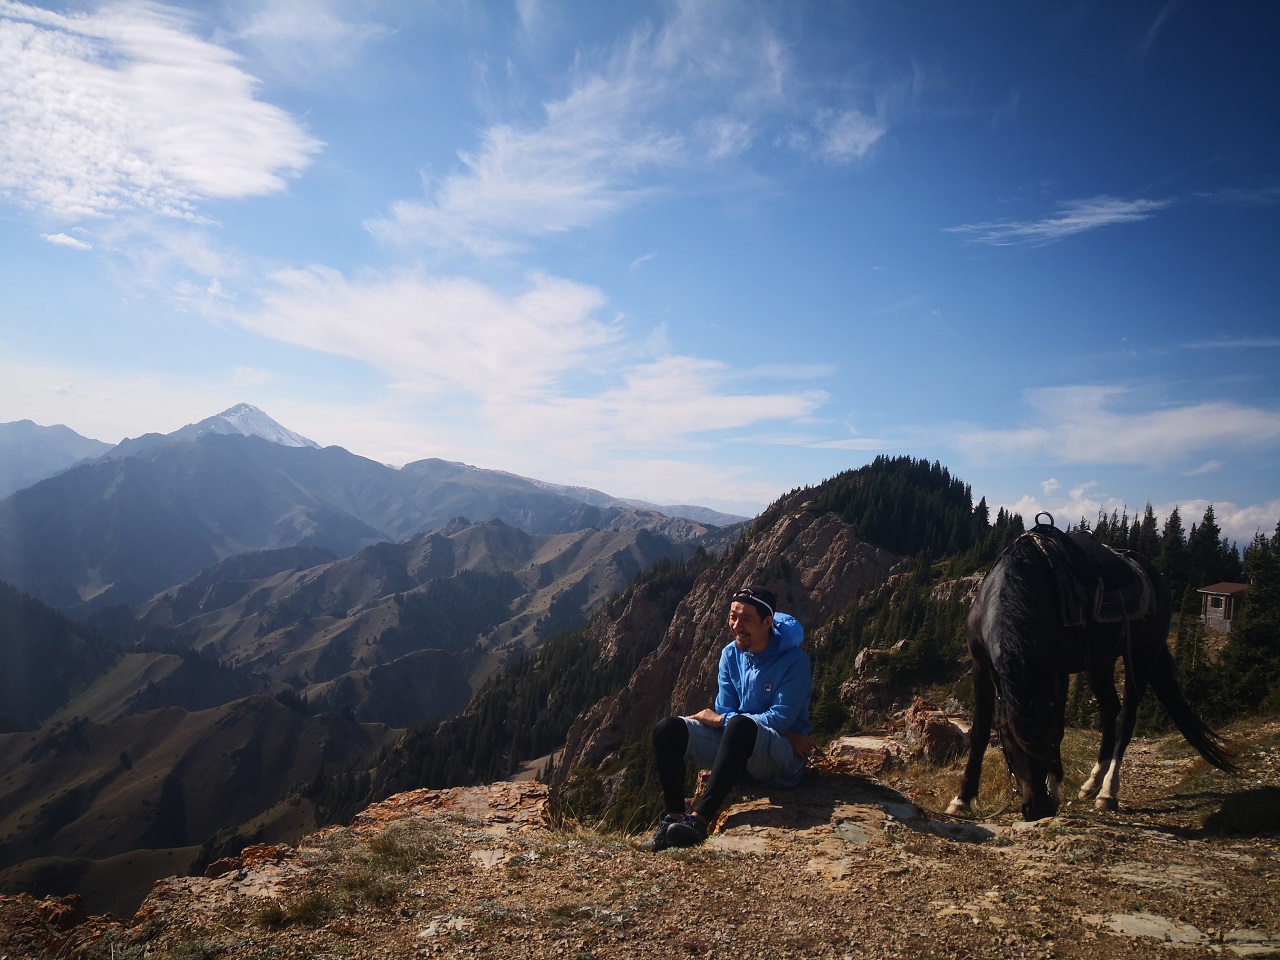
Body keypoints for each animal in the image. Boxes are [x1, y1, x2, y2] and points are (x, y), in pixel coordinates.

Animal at [947, 514, 1233, 824]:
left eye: (1043, 740)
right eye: (1009, 740)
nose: (1038, 808)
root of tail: (1157, 578)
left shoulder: (1055, 669)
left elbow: (1059, 728)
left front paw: (1055, 789)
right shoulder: (981, 665)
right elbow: (979, 732)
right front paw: (961, 799)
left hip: (1142, 655)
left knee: (1125, 717)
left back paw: (1107, 792)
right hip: (1100, 663)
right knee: (1110, 711)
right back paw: (1091, 784)